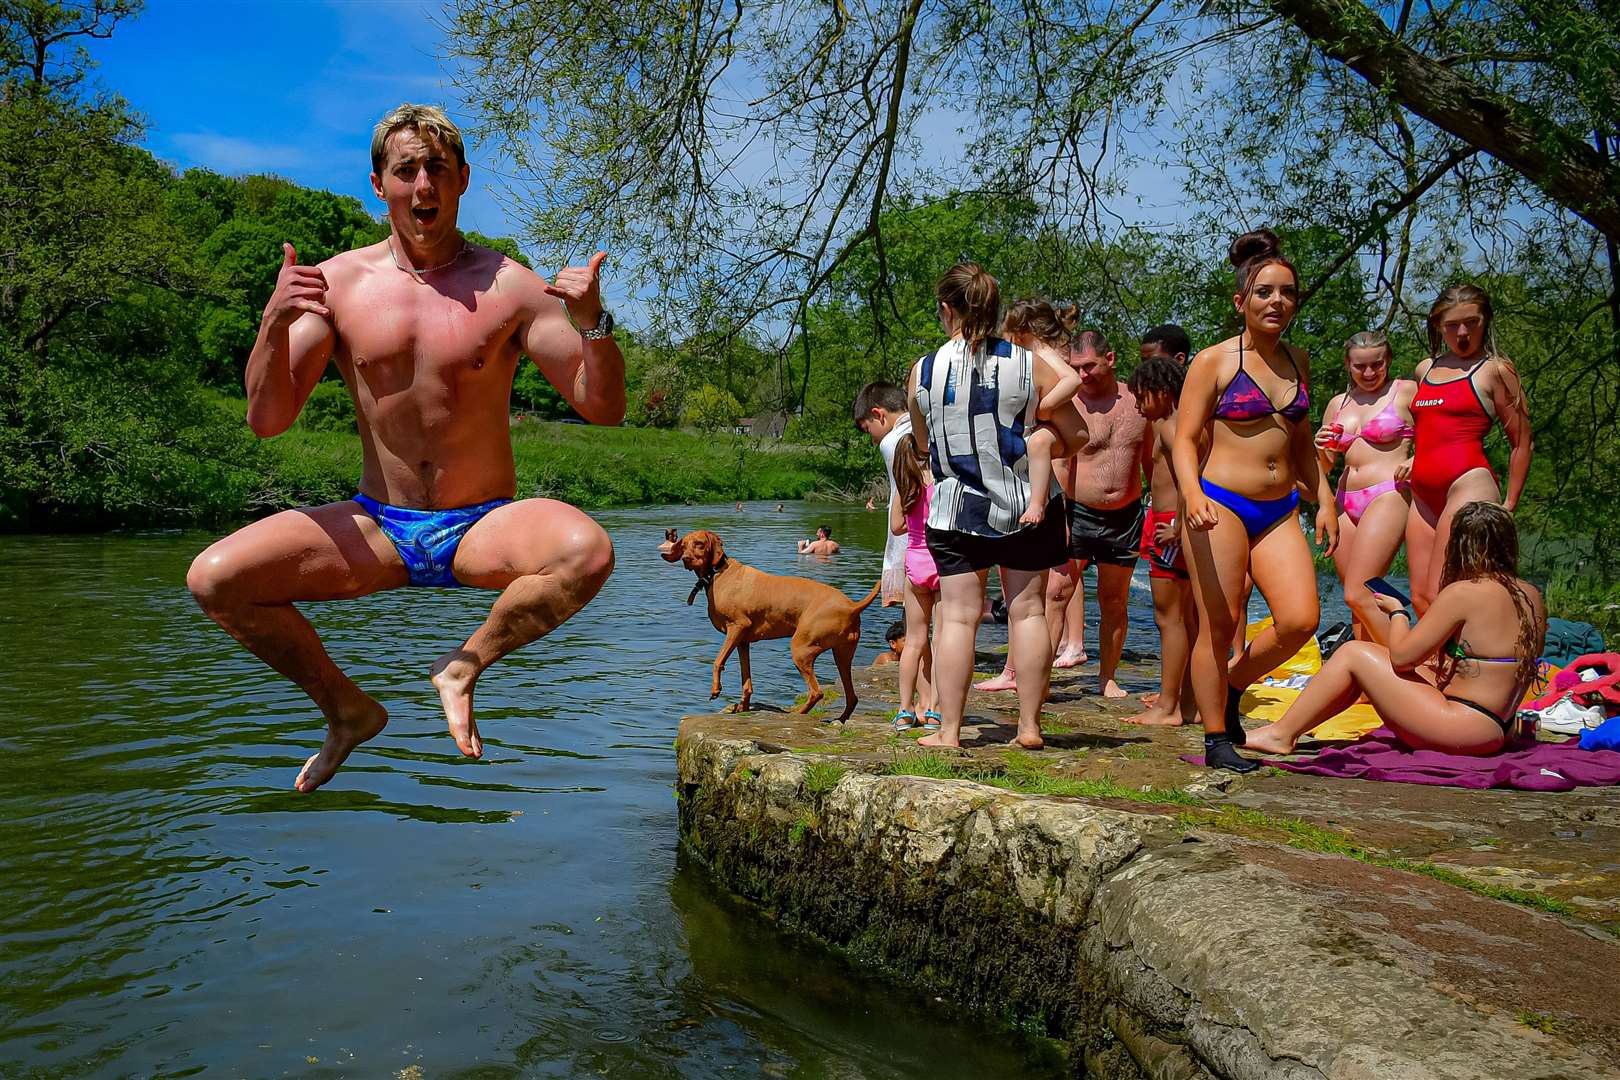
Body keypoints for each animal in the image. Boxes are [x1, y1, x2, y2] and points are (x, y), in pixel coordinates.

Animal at [664, 531, 881, 722]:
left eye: (699, 543)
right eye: (683, 545)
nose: (686, 558)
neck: (718, 573)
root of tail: (851, 606)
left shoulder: (737, 627)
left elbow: (718, 662)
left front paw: (716, 690)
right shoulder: (742, 642)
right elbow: (746, 681)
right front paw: (743, 707)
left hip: (801, 650)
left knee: (817, 692)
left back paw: (796, 715)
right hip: (842, 656)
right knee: (852, 697)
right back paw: (840, 719)